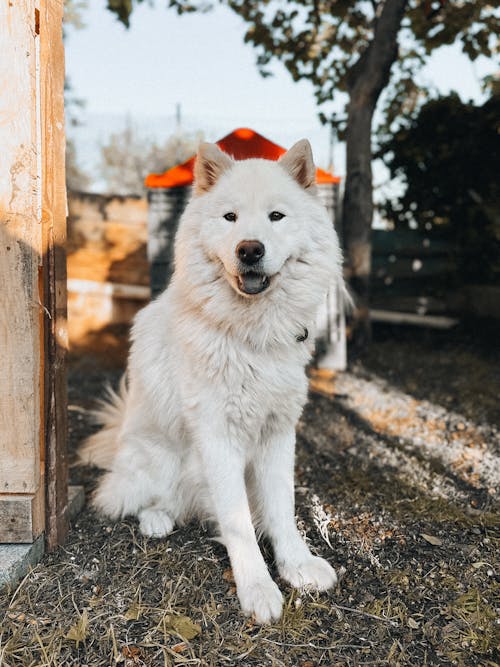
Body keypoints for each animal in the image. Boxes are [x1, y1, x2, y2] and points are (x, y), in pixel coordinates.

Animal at [80, 141, 344, 628]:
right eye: (230, 217)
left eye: (276, 216)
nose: (250, 249)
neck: (251, 338)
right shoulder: (218, 436)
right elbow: (237, 522)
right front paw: (257, 588)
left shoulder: (278, 433)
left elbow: (282, 507)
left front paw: (296, 565)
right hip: (158, 457)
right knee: (131, 498)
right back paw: (156, 519)